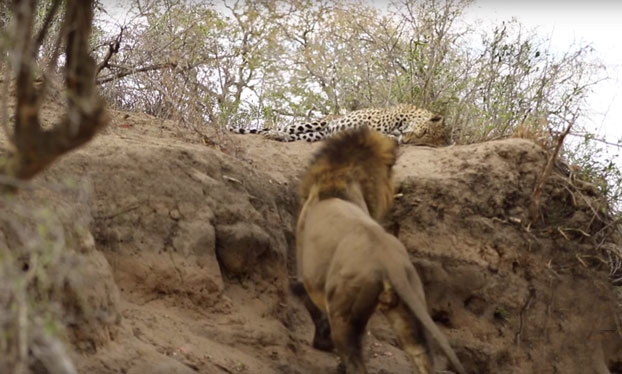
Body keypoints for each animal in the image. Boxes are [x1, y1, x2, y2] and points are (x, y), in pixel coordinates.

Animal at [298, 126, 468, 374]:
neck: (338, 180)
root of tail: (391, 263)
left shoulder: (306, 274)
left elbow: (309, 304)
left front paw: (321, 342)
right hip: (408, 307)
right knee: (421, 355)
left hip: (344, 313)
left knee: (355, 362)